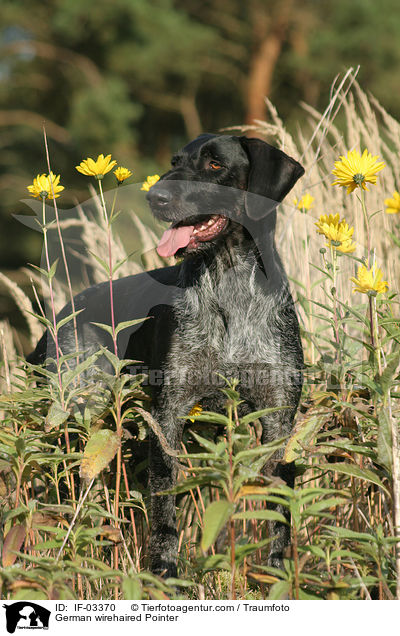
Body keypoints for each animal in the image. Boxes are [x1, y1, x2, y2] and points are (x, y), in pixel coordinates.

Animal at [28, 133, 304, 576]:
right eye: (175, 163)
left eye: (214, 165)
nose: (154, 197)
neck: (231, 288)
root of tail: (58, 319)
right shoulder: (168, 414)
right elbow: (164, 510)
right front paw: (164, 574)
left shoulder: (279, 417)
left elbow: (278, 510)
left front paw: (276, 573)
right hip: (72, 416)